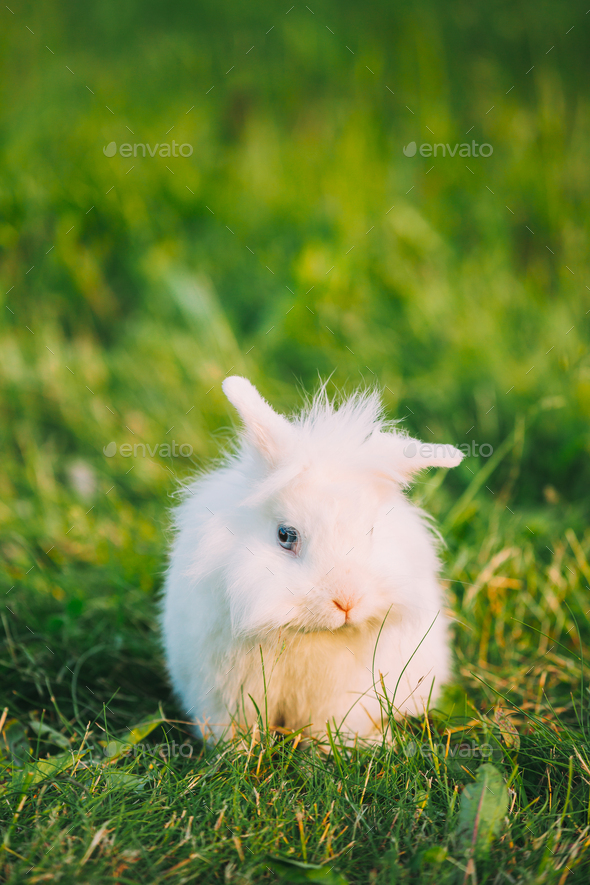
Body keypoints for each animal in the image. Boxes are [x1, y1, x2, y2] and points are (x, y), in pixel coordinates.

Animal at [161, 376, 464, 743]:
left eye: (371, 531)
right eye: (285, 535)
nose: (346, 601)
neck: (306, 632)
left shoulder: (341, 701)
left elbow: (327, 730)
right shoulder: (225, 694)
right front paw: (235, 752)